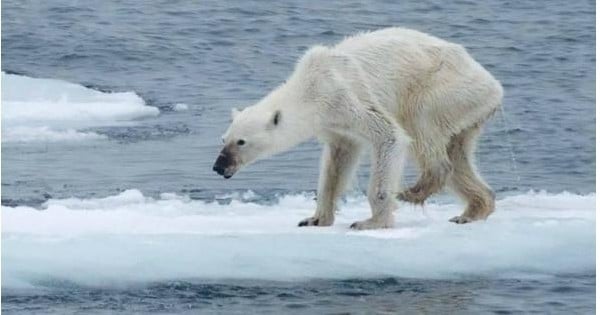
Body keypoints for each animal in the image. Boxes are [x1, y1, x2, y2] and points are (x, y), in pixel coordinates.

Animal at [211, 27, 502, 230]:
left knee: (422, 125)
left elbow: (390, 136)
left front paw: (371, 222)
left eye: (241, 142)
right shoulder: (334, 125)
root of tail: (494, 85)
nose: (218, 166)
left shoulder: (345, 97)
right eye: (223, 139)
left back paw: (414, 191)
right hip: (467, 110)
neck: (310, 87)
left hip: (444, 88)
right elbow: (337, 162)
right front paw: (315, 219)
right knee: (458, 153)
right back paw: (472, 211)